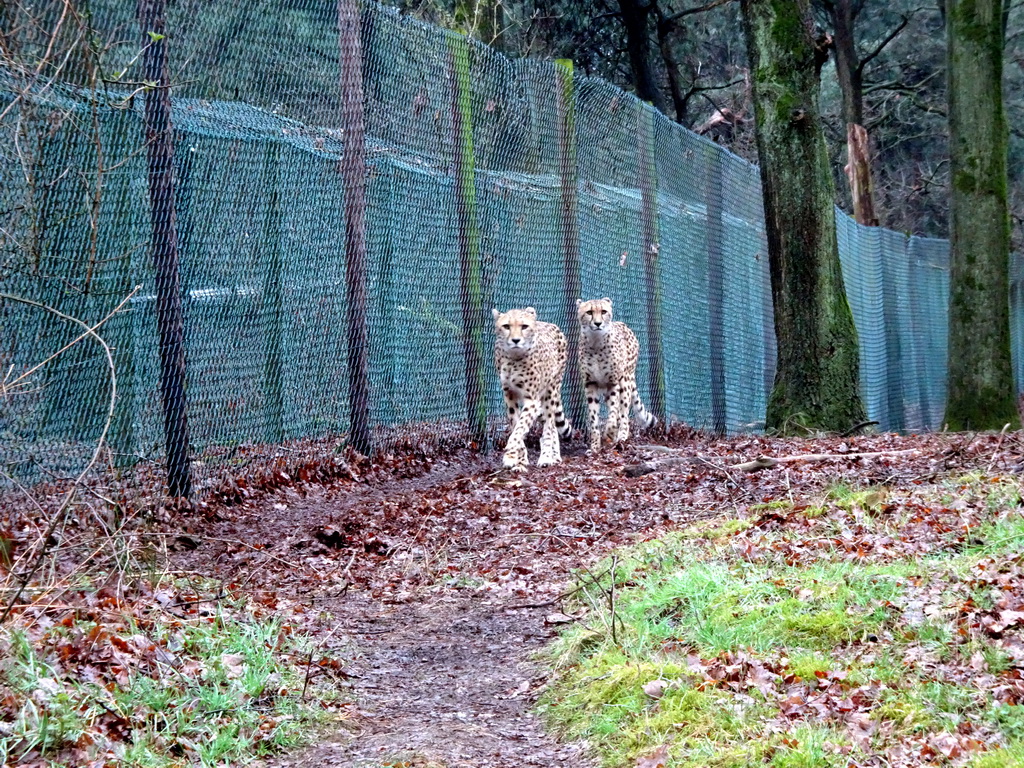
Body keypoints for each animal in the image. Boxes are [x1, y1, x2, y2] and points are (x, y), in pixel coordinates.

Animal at [495, 307, 577, 468]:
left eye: (524, 326)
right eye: (506, 326)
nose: (515, 340)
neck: (513, 359)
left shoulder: (532, 400)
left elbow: (520, 427)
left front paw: (511, 452)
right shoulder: (509, 395)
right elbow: (516, 424)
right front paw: (518, 459)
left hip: (551, 391)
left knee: (550, 425)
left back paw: (548, 457)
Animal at [577, 296, 655, 454]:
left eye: (603, 311)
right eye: (589, 312)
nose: (598, 323)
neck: (596, 342)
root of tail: (624, 324)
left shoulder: (613, 382)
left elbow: (613, 412)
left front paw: (610, 432)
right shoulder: (590, 383)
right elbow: (594, 418)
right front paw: (595, 447)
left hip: (625, 381)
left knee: (623, 413)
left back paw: (621, 437)